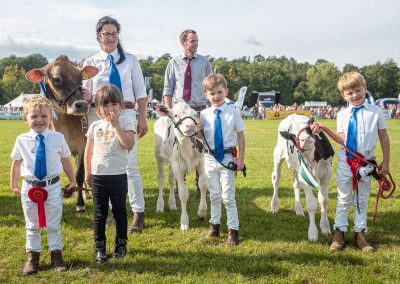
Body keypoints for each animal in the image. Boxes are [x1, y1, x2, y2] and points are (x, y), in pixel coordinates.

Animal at [155, 102, 208, 231]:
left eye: (194, 114)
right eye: (175, 115)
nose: (190, 126)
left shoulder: (201, 160)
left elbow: (203, 184)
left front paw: (202, 212)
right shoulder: (178, 168)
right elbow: (183, 193)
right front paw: (184, 222)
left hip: (172, 163)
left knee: (170, 179)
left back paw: (172, 204)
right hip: (158, 157)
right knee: (161, 179)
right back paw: (160, 206)